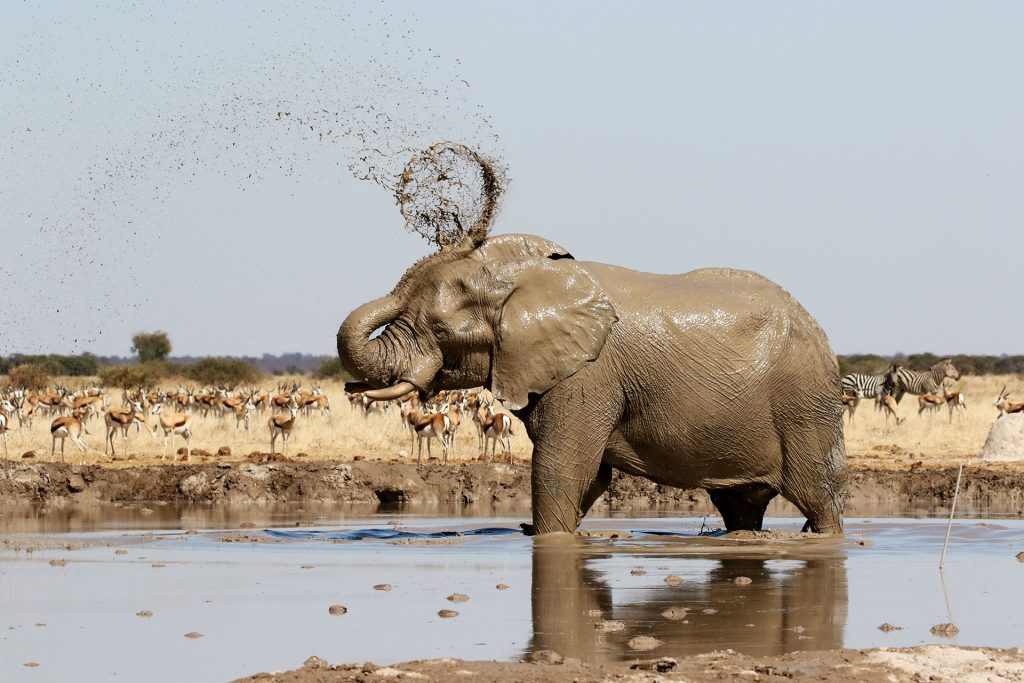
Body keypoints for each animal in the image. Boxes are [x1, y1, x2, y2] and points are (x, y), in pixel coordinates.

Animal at [337, 227, 847, 536]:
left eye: (441, 329)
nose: (349, 390)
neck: (531, 278)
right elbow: (591, 475)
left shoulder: (589, 374)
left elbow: (562, 468)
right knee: (740, 506)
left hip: (805, 405)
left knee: (819, 496)